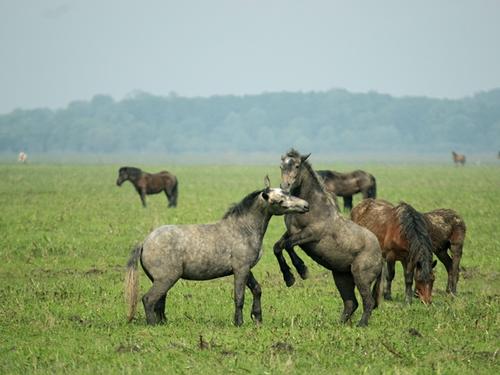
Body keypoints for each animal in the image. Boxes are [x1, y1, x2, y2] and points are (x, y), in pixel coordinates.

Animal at [124, 176, 308, 326]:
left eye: (287, 192)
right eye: (280, 201)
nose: (305, 205)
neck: (243, 229)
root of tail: (144, 242)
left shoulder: (246, 269)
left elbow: (257, 289)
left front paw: (257, 318)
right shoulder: (240, 269)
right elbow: (239, 296)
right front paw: (239, 322)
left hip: (161, 281)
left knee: (160, 302)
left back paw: (163, 322)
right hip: (165, 279)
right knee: (149, 300)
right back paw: (153, 324)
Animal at [274, 149, 382, 326]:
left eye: (297, 166)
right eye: (282, 166)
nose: (285, 187)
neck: (312, 207)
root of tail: (381, 255)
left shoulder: (310, 234)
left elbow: (288, 245)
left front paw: (302, 271)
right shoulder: (291, 232)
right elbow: (278, 247)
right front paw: (289, 278)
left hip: (361, 277)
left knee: (368, 302)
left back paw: (361, 324)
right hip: (341, 278)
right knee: (351, 302)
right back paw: (340, 324)